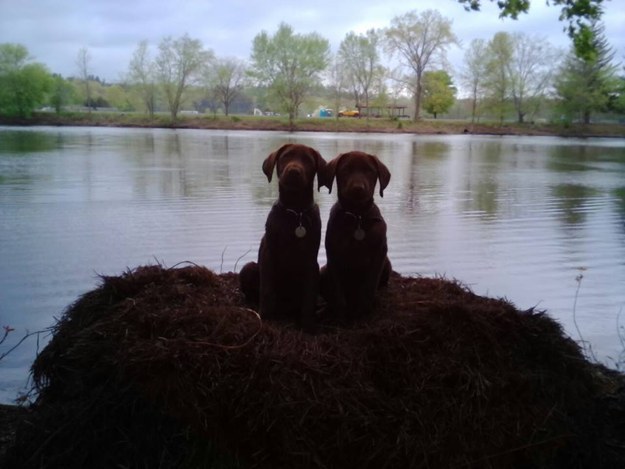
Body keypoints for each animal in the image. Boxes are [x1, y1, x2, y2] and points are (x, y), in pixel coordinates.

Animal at [239, 143, 326, 330]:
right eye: (286, 156)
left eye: (308, 160)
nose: (293, 171)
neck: (295, 212)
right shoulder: (269, 253)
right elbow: (267, 289)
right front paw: (266, 317)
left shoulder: (311, 261)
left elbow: (308, 296)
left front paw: (308, 324)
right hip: (249, 268)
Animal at [322, 151, 390, 322]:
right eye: (345, 170)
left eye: (370, 171)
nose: (358, 188)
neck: (357, 217)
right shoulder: (333, 254)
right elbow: (338, 291)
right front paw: (340, 316)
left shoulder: (379, 253)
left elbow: (369, 286)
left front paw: (363, 311)